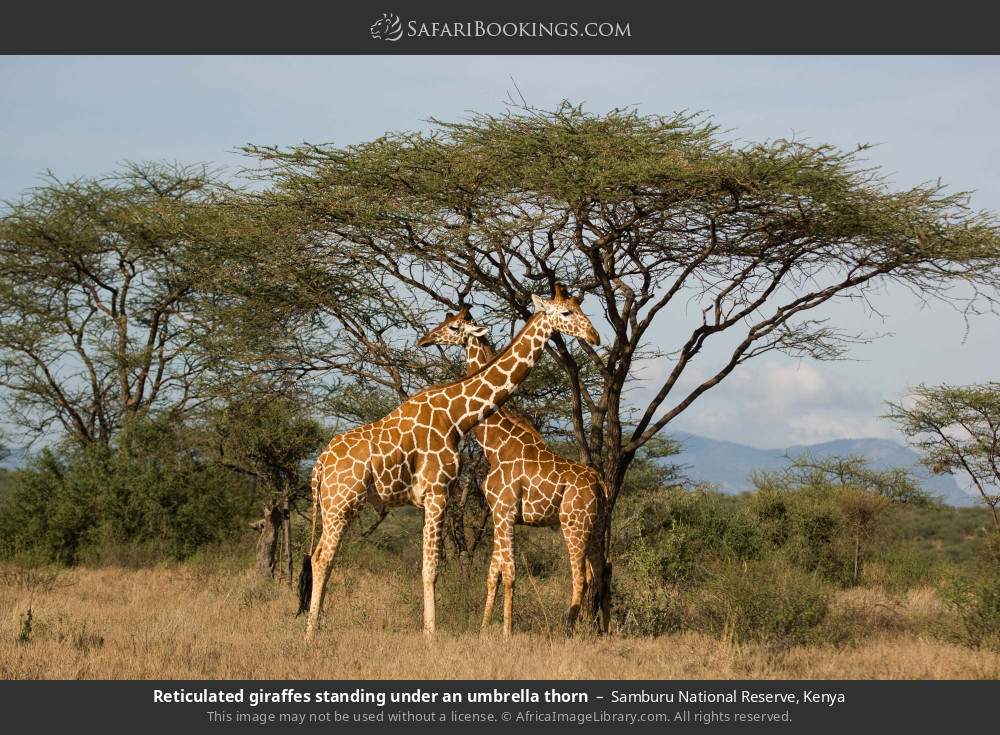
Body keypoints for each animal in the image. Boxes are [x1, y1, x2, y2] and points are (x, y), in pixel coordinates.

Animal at [294, 284, 592, 640]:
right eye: (566, 313)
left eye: (576, 310)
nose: (594, 335)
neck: (456, 417)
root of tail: (319, 464)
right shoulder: (437, 492)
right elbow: (431, 568)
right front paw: (431, 634)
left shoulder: (432, 498)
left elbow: (432, 565)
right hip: (341, 503)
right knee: (321, 558)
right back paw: (310, 634)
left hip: (336, 506)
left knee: (322, 557)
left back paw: (319, 625)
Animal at [420, 288, 612, 640]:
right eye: (446, 321)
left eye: (453, 326)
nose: (425, 339)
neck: (497, 443)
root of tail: (601, 483)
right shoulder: (499, 512)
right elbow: (493, 572)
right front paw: (485, 628)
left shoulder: (506, 510)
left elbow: (509, 573)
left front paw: (506, 632)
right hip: (597, 525)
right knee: (603, 571)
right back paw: (604, 630)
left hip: (573, 523)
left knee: (581, 576)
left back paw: (567, 630)